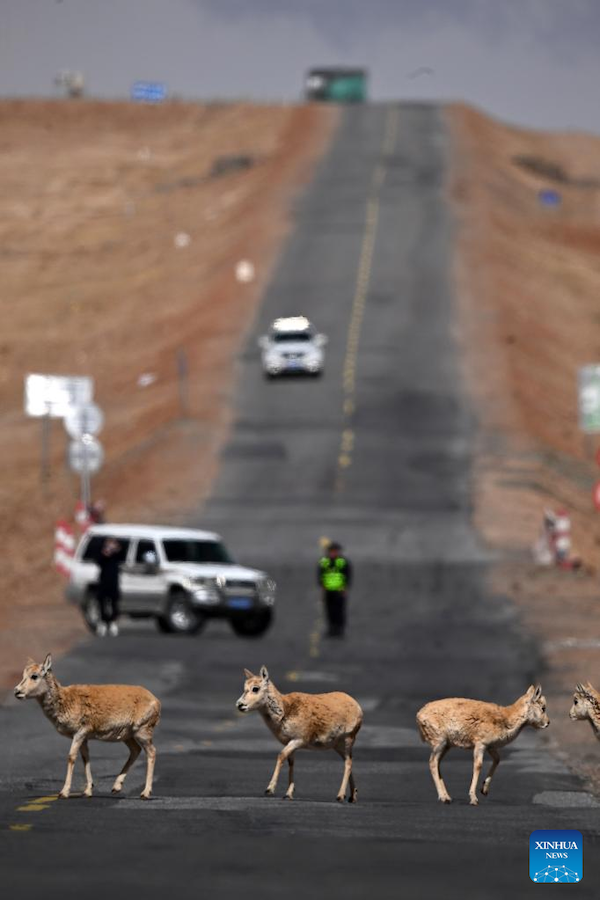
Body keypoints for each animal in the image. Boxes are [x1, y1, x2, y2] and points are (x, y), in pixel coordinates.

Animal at [14, 656, 162, 800]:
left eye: (34, 675)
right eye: (23, 674)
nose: (17, 691)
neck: (65, 700)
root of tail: (156, 701)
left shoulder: (79, 733)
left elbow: (71, 757)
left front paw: (64, 792)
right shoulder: (84, 738)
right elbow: (86, 758)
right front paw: (87, 791)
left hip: (142, 732)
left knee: (151, 752)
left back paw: (145, 793)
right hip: (128, 736)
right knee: (135, 750)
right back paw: (116, 787)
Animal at [237, 668, 364, 800]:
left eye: (255, 688)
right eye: (245, 687)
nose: (239, 705)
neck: (285, 710)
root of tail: (356, 705)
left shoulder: (298, 740)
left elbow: (281, 755)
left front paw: (269, 789)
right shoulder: (290, 743)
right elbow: (291, 762)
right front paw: (288, 794)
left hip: (348, 739)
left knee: (348, 763)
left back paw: (340, 796)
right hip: (337, 746)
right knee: (348, 761)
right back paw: (352, 796)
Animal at [418, 684, 548, 804]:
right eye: (543, 708)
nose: (548, 723)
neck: (506, 719)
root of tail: (419, 715)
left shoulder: (491, 747)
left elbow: (497, 760)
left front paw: (484, 790)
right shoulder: (480, 744)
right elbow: (478, 765)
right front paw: (474, 799)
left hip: (446, 746)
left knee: (437, 763)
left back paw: (447, 797)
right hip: (440, 743)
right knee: (433, 762)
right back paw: (444, 798)